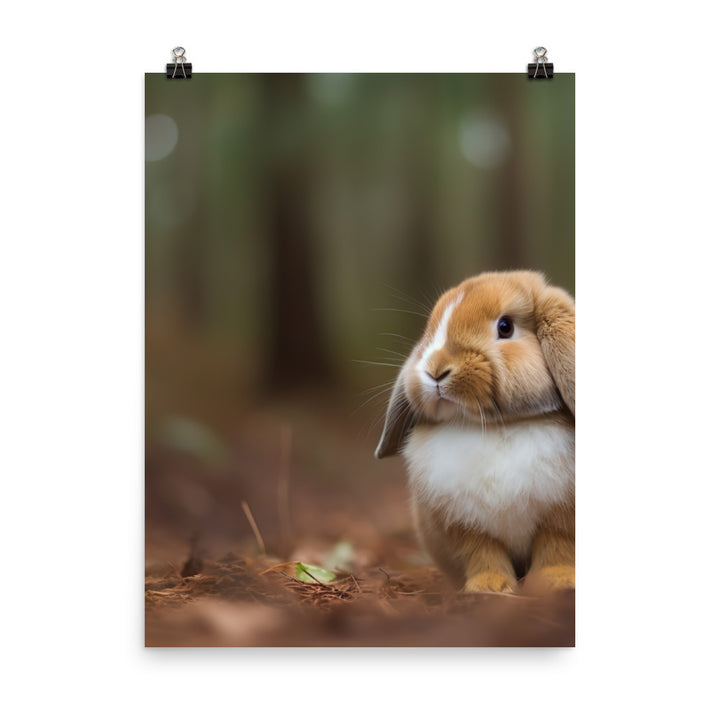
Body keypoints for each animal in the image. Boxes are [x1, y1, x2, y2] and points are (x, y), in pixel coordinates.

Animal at [376, 271, 574, 594]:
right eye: (432, 332)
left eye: (505, 327)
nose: (435, 371)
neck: (495, 426)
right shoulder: (465, 527)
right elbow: (483, 555)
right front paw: (488, 588)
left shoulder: (559, 518)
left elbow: (557, 548)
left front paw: (556, 583)